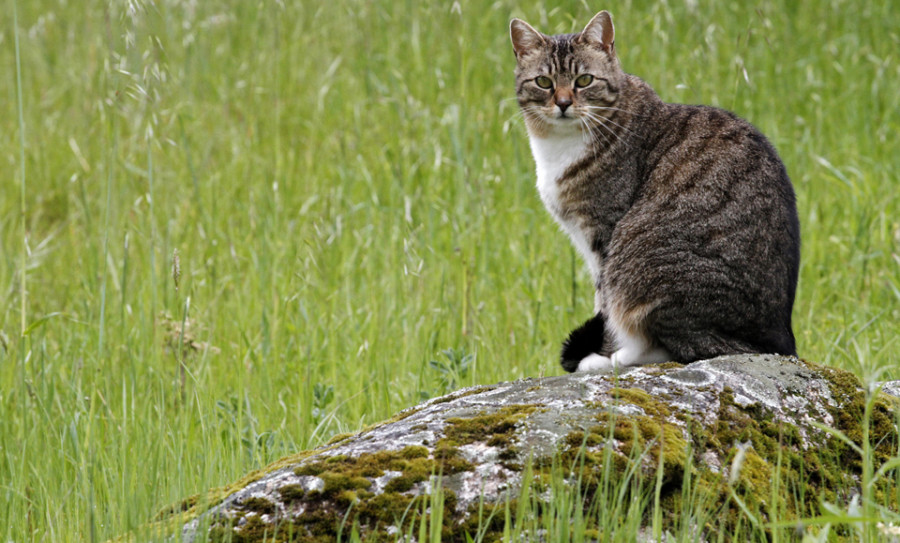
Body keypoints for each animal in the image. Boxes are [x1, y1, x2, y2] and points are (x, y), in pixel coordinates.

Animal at [510, 11, 800, 374]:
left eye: (584, 81)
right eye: (544, 83)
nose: (563, 103)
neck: (560, 144)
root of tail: (778, 341)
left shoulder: (604, 235)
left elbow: (603, 306)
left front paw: (605, 349)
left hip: (642, 263)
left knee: (676, 345)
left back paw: (608, 359)